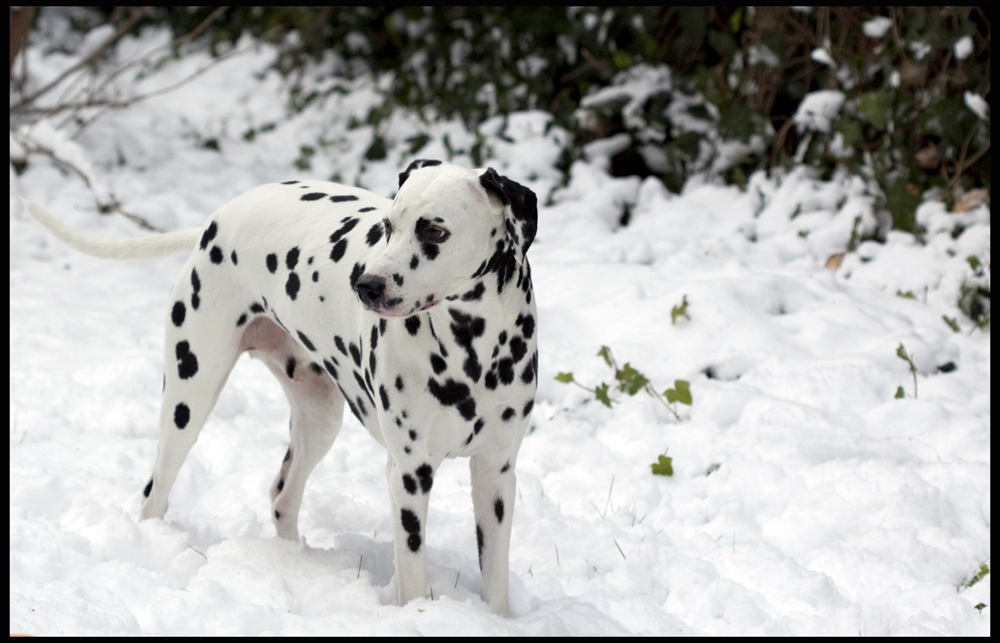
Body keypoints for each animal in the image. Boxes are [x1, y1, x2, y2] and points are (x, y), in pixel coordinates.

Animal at [21, 158, 540, 616]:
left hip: (320, 419)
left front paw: (497, 620)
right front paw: (415, 616)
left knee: (282, 496)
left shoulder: (496, 476)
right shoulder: (409, 476)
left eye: (435, 231)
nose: (366, 285)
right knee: (156, 492)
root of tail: (215, 220)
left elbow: (495, 576)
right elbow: (411, 573)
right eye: (388, 226)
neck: (472, 349)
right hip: (189, 398)